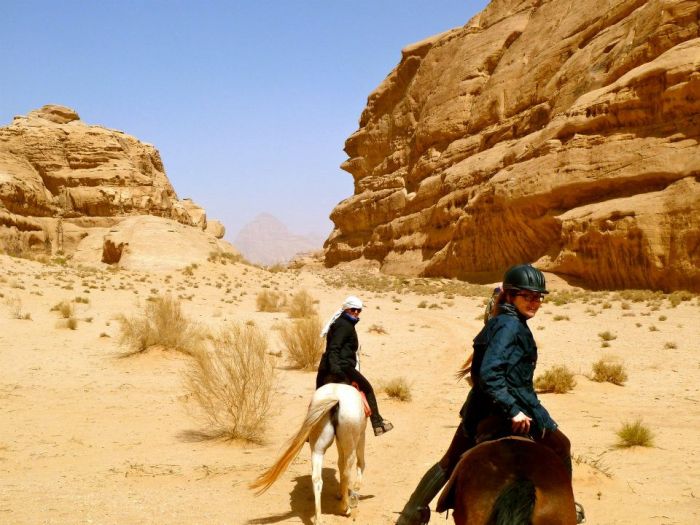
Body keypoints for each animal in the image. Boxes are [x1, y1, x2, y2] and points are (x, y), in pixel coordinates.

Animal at [250, 380, 370, 524]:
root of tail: (336, 399)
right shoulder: (361, 436)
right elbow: (360, 463)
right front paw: (353, 492)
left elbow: (340, 464)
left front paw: (341, 493)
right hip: (349, 443)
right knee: (347, 472)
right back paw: (345, 508)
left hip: (318, 448)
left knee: (317, 479)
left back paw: (319, 518)